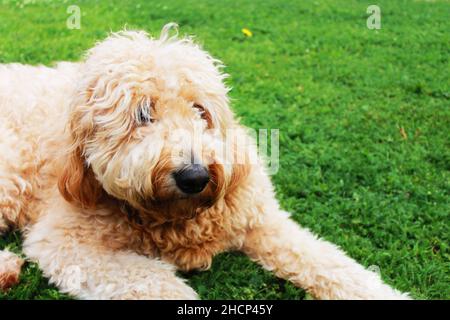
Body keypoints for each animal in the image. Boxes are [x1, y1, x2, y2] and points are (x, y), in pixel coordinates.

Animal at [0, 24, 410, 300]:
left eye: (201, 111)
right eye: (143, 115)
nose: (194, 176)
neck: (175, 218)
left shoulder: (260, 219)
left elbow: (325, 260)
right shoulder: (66, 242)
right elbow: (153, 280)